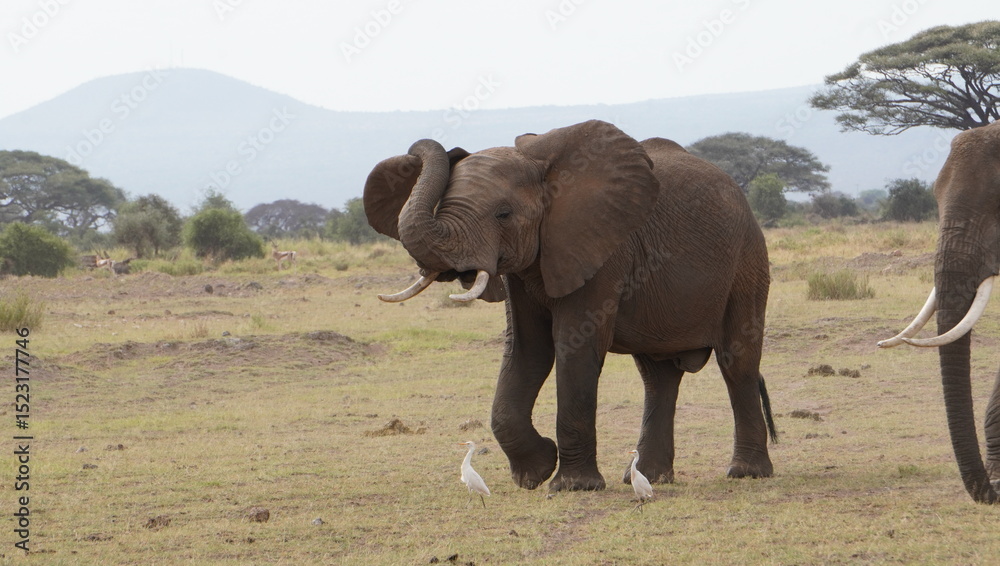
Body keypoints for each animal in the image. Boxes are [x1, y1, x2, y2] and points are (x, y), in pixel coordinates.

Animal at [364, 120, 776, 492]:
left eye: (503, 214)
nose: (419, 150)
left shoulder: (602, 248)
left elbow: (574, 345)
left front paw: (573, 486)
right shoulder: (527, 267)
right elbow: (526, 350)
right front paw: (536, 472)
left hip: (747, 263)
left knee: (736, 362)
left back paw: (745, 474)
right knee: (657, 376)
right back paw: (648, 478)